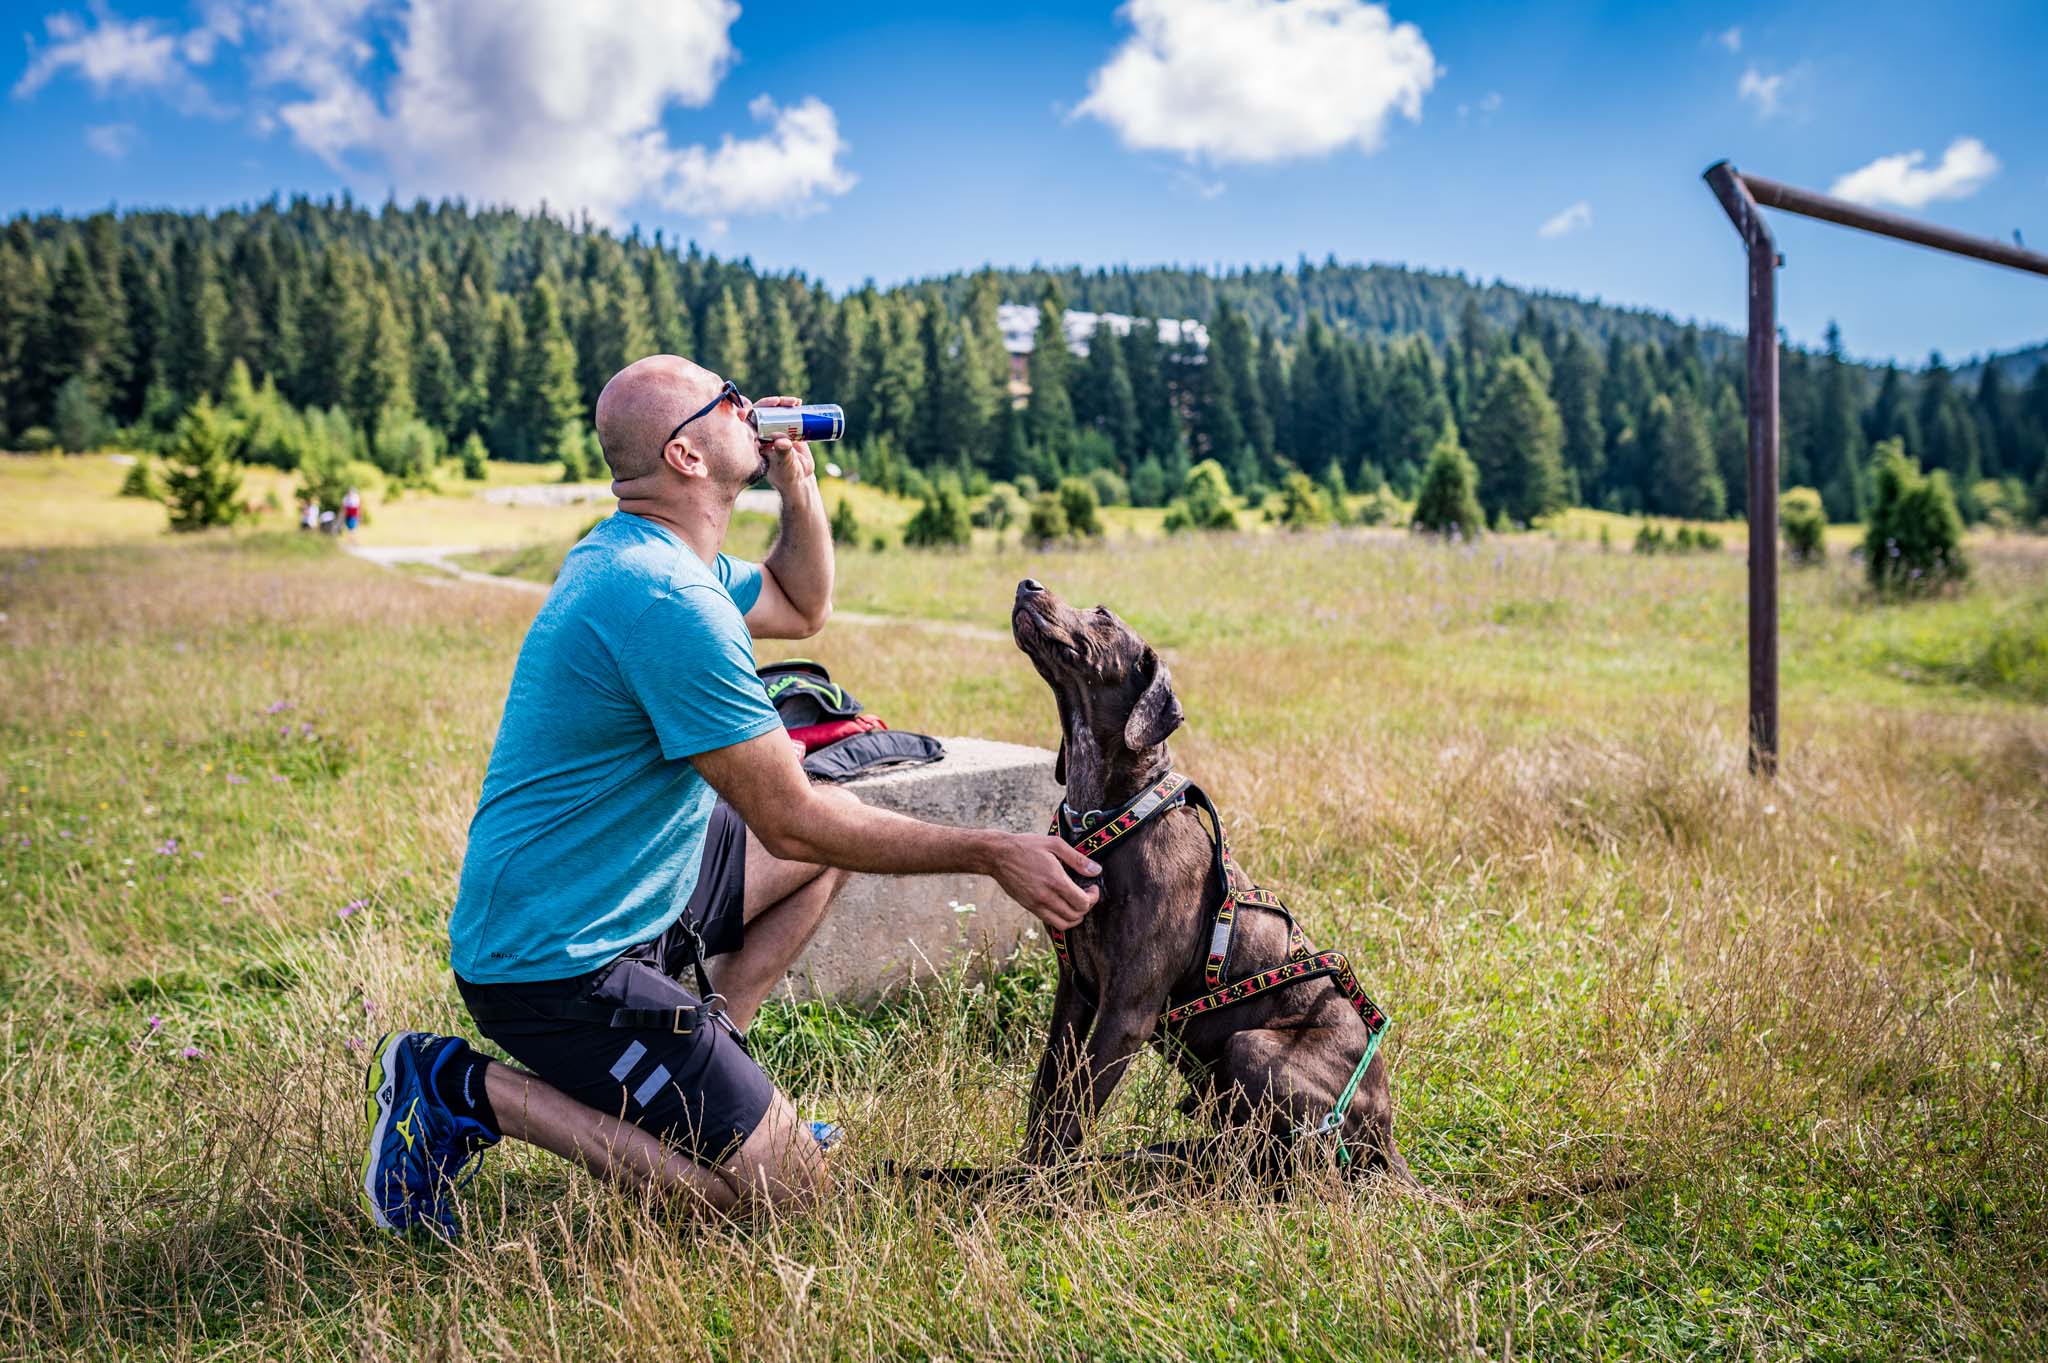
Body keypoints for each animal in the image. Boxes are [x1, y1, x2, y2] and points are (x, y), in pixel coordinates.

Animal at [1007, 577, 1409, 1170]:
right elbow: (1046, 1096)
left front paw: (1037, 1185)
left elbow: (1073, 1112)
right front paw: (1017, 1173)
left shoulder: (1126, 1012)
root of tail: (1385, 1134)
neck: (1111, 817)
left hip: (1254, 1048)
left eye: (1103, 615)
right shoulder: (1075, 994)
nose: (1027, 583)